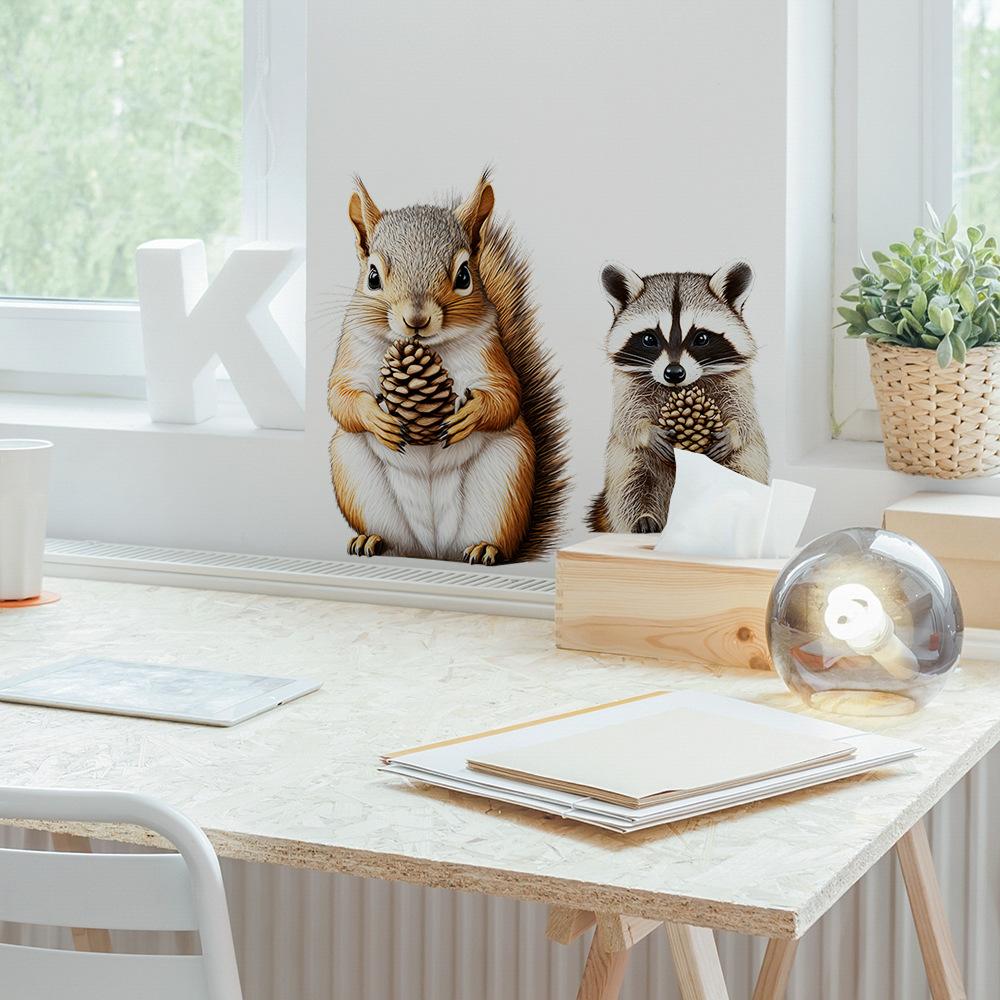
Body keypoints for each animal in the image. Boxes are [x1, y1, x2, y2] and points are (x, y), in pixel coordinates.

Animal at [328, 171, 569, 565]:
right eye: (373, 277)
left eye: (465, 275)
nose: (416, 320)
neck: (427, 348)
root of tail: (435, 552)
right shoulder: (351, 350)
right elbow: (339, 396)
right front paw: (375, 417)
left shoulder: (491, 354)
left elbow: (507, 397)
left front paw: (469, 414)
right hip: (354, 473)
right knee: (393, 541)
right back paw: (370, 540)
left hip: (506, 478)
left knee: (496, 539)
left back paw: (486, 547)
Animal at [587, 260, 769, 534]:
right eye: (649, 338)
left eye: (701, 338)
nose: (674, 373)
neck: (678, 390)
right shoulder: (626, 386)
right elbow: (626, 420)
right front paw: (646, 432)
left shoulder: (738, 382)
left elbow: (746, 417)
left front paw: (734, 431)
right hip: (629, 464)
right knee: (630, 481)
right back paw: (643, 517)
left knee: (743, 472)